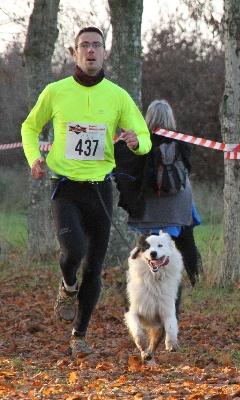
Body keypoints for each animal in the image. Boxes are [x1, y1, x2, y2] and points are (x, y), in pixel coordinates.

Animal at [124, 230, 183, 364]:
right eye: (147, 246)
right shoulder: (132, 310)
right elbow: (138, 332)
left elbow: (171, 326)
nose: (153, 253)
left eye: (160, 245)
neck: (154, 279)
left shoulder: (167, 309)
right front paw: (143, 346)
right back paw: (146, 354)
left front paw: (171, 344)